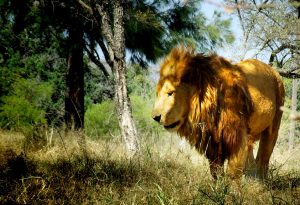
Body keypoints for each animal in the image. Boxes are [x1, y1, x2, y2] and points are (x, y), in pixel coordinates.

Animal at [151, 46, 284, 179]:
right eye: (158, 94)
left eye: (170, 93)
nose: (155, 117)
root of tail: (272, 69)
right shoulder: (213, 142)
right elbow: (215, 171)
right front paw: (218, 184)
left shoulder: (237, 136)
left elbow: (233, 173)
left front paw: (231, 185)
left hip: (273, 126)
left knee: (264, 157)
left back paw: (260, 180)